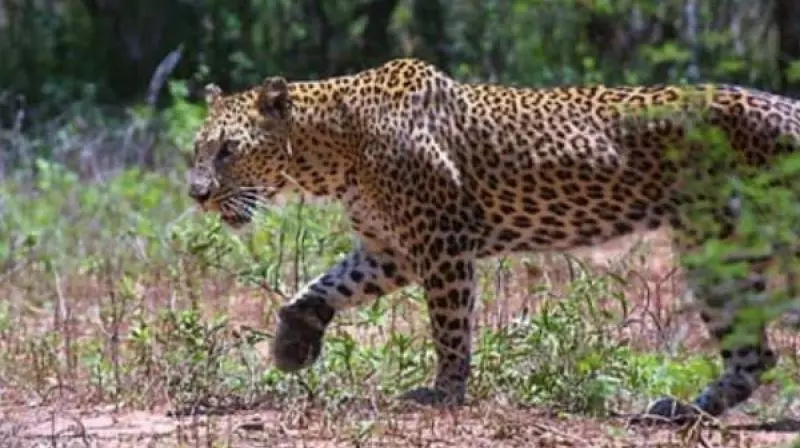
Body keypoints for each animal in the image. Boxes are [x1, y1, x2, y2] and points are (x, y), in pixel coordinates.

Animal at [187, 57, 800, 423]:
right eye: (197, 147)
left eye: (228, 150)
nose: (196, 194)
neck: (333, 148)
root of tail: (786, 106)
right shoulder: (390, 250)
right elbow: (325, 284)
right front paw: (293, 342)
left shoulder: (441, 242)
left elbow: (450, 328)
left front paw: (445, 393)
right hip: (715, 250)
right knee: (754, 354)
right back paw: (679, 412)